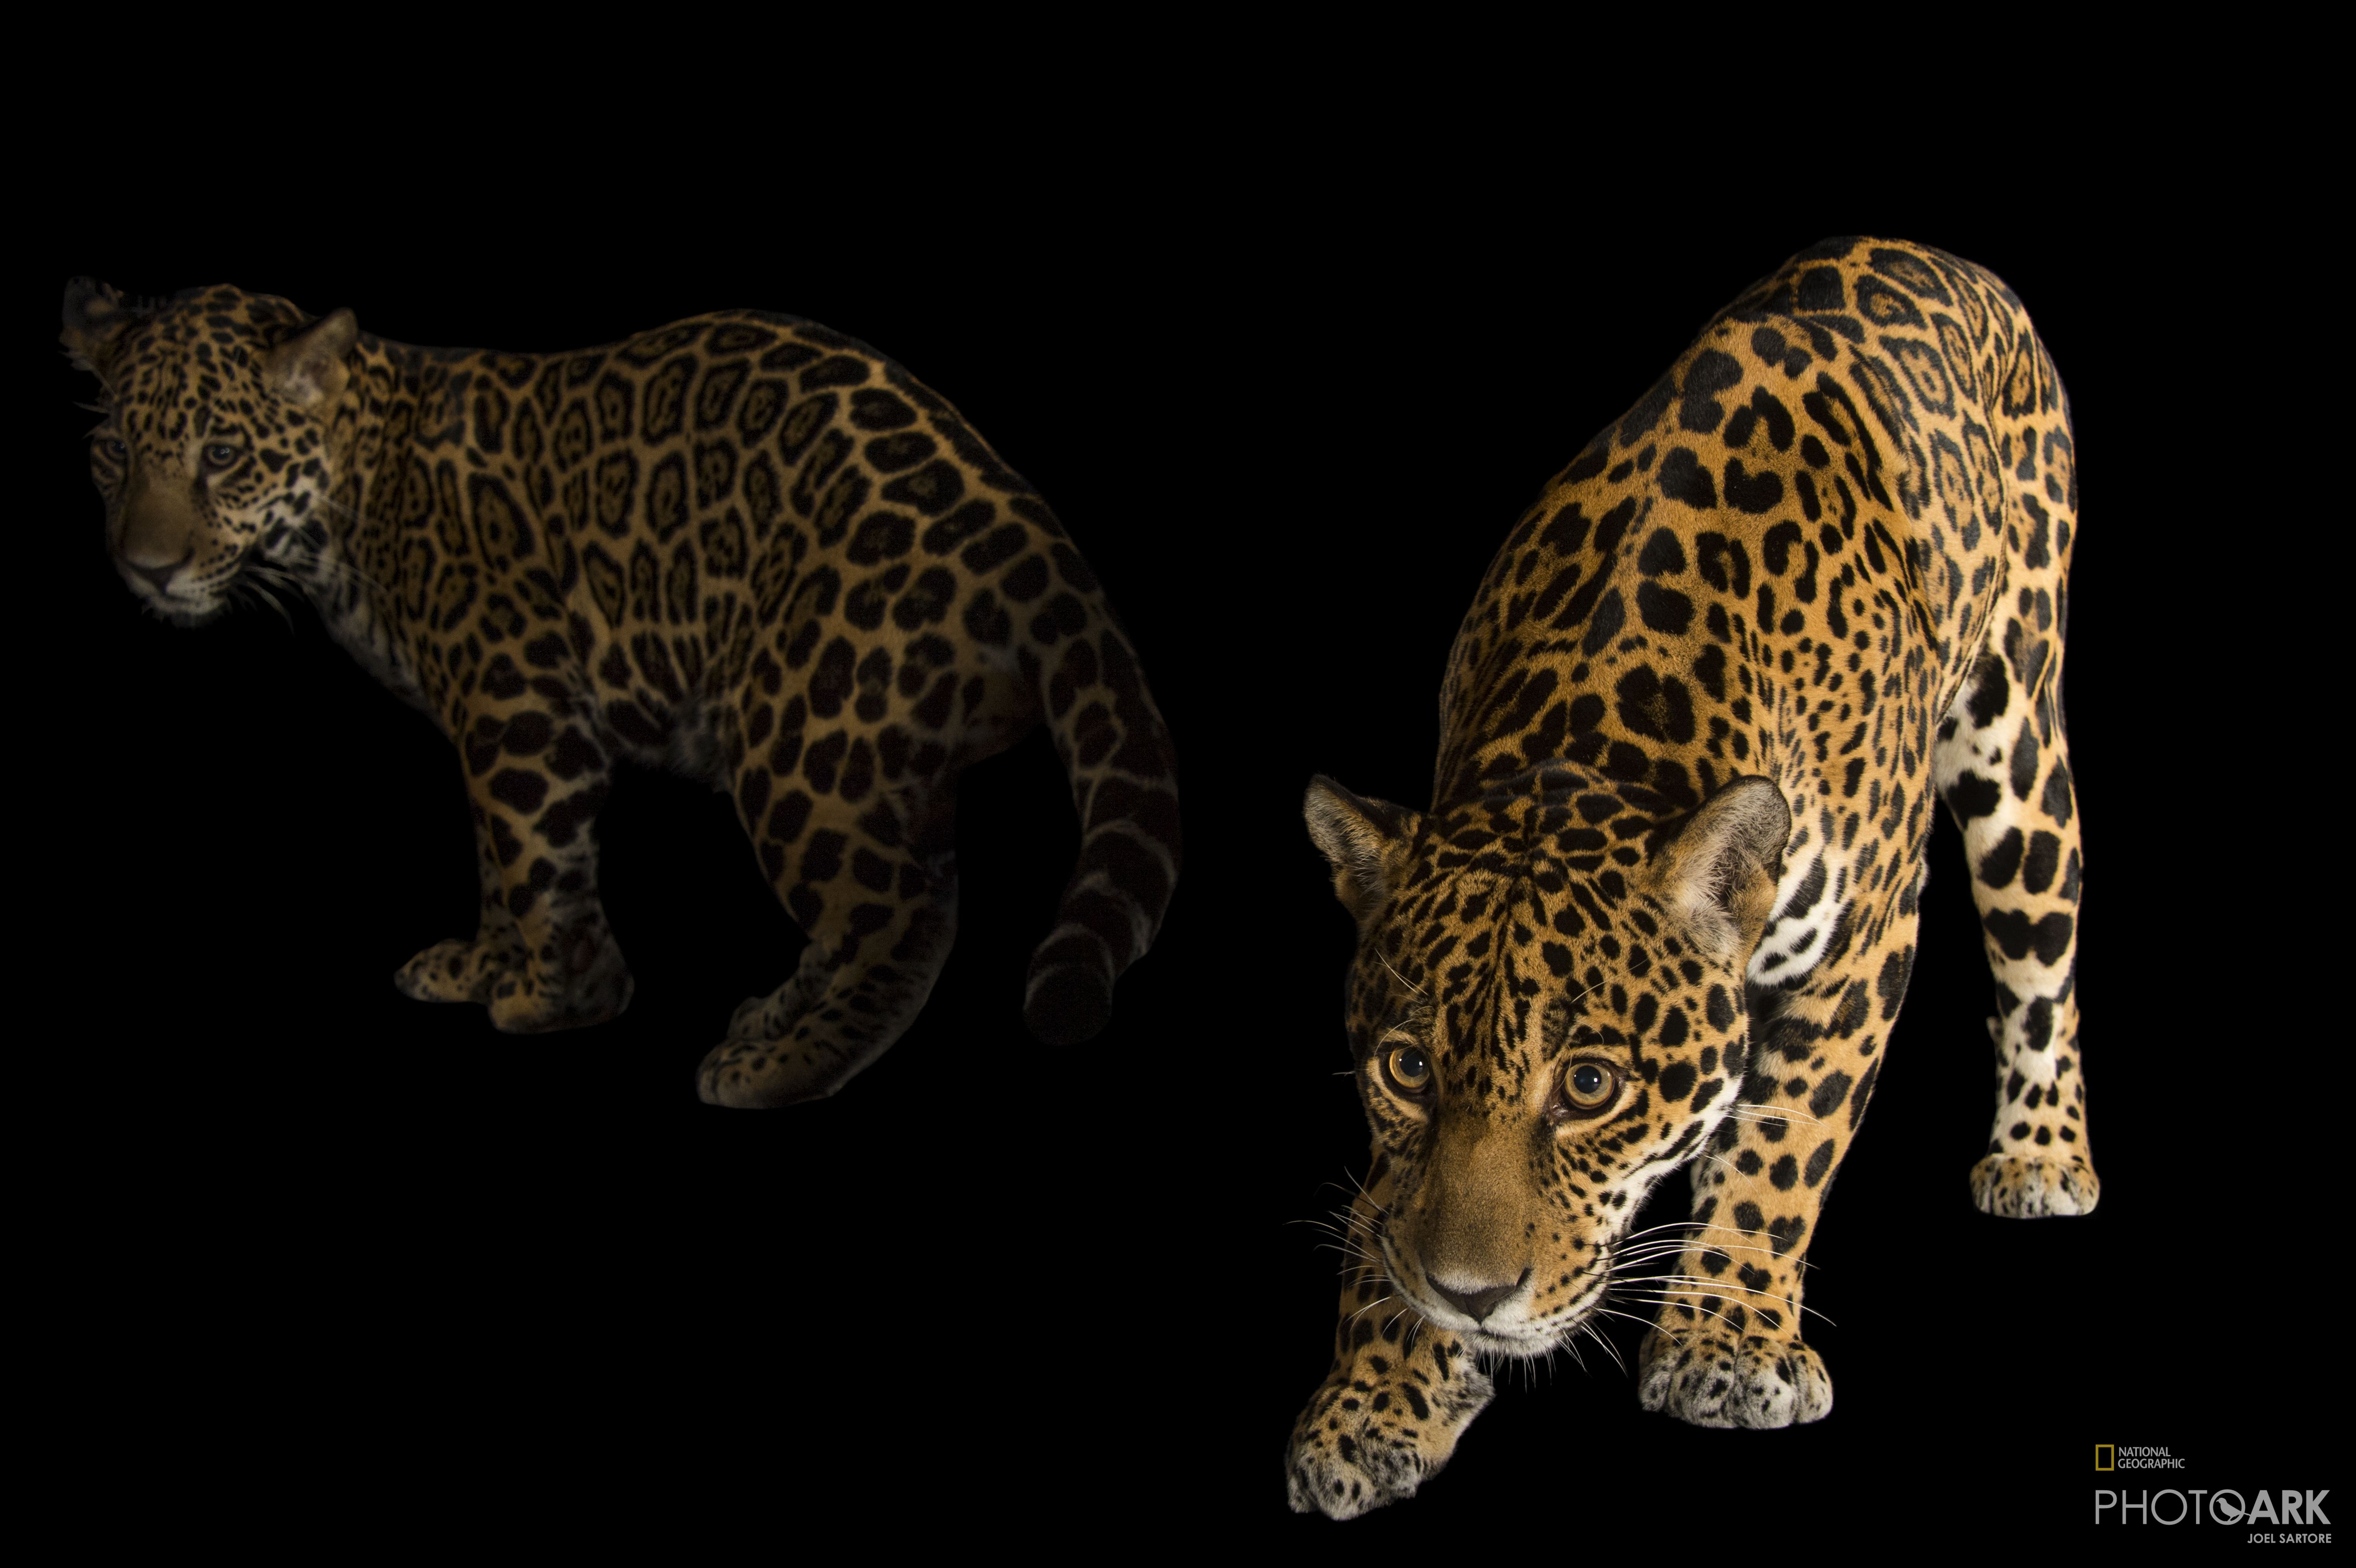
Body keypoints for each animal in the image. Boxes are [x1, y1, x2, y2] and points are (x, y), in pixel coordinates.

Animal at [60, 278, 1181, 1108]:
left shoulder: (515, 702)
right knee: (888, 898)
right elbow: (500, 863)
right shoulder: (490, 720)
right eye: (113, 452)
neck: (355, 490)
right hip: (882, 750)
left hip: (798, 729)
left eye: (221, 455)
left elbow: (531, 855)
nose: (145, 570)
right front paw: (488, 969)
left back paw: (780, 1068)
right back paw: (776, 1015)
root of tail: (1027, 534)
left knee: (904, 912)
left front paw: (559, 998)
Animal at [1285, 237, 2094, 1518]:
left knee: (2040, 958)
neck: (1580, 740)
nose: (1470, 1296)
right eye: (1408, 1069)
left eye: (1589, 1087)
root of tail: (1941, 255)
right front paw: (1374, 1394)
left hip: (2019, 741)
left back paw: (2040, 1155)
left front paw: (1725, 1343)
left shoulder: (1867, 939)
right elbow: (1388, 1207)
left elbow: (1785, 1147)